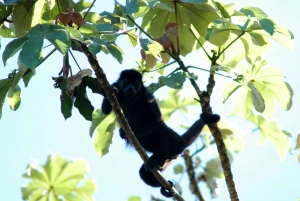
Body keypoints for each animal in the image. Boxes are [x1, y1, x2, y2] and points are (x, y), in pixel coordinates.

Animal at [102, 70, 219, 198]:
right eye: (126, 82)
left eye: (135, 84)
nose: (131, 87)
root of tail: (180, 141)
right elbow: (105, 110)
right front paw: (113, 91)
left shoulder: (148, 96)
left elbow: (157, 120)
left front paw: (126, 131)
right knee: (144, 174)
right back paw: (164, 185)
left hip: (172, 149)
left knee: (160, 132)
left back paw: (156, 162)